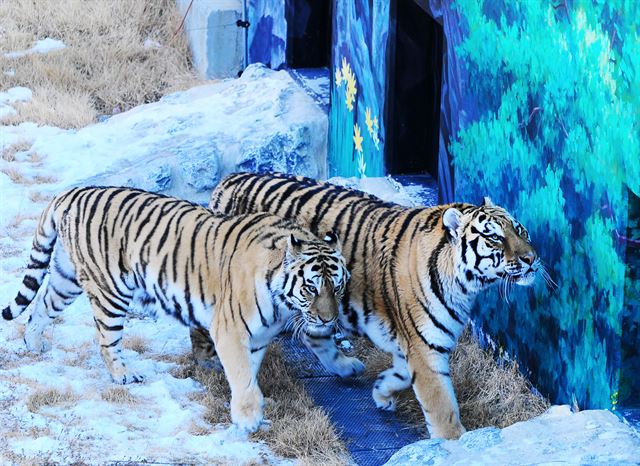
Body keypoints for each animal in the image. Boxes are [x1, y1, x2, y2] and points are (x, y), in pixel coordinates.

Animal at [1, 186, 350, 434]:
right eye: (311, 288)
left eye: (338, 286)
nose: (329, 319)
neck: (281, 303)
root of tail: (70, 192)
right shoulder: (231, 329)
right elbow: (241, 374)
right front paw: (249, 418)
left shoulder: (259, 337)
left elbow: (249, 373)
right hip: (109, 291)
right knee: (106, 340)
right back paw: (124, 374)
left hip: (67, 278)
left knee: (40, 306)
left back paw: (33, 343)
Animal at [206, 172, 544, 440]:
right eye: (493, 237)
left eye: (520, 229)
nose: (532, 258)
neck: (466, 284)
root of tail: (229, 179)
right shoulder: (425, 346)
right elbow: (442, 404)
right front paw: (455, 443)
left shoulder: (413, 342)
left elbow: (403, 374)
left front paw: (382, 390)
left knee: (314, 334)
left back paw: (345, 366)